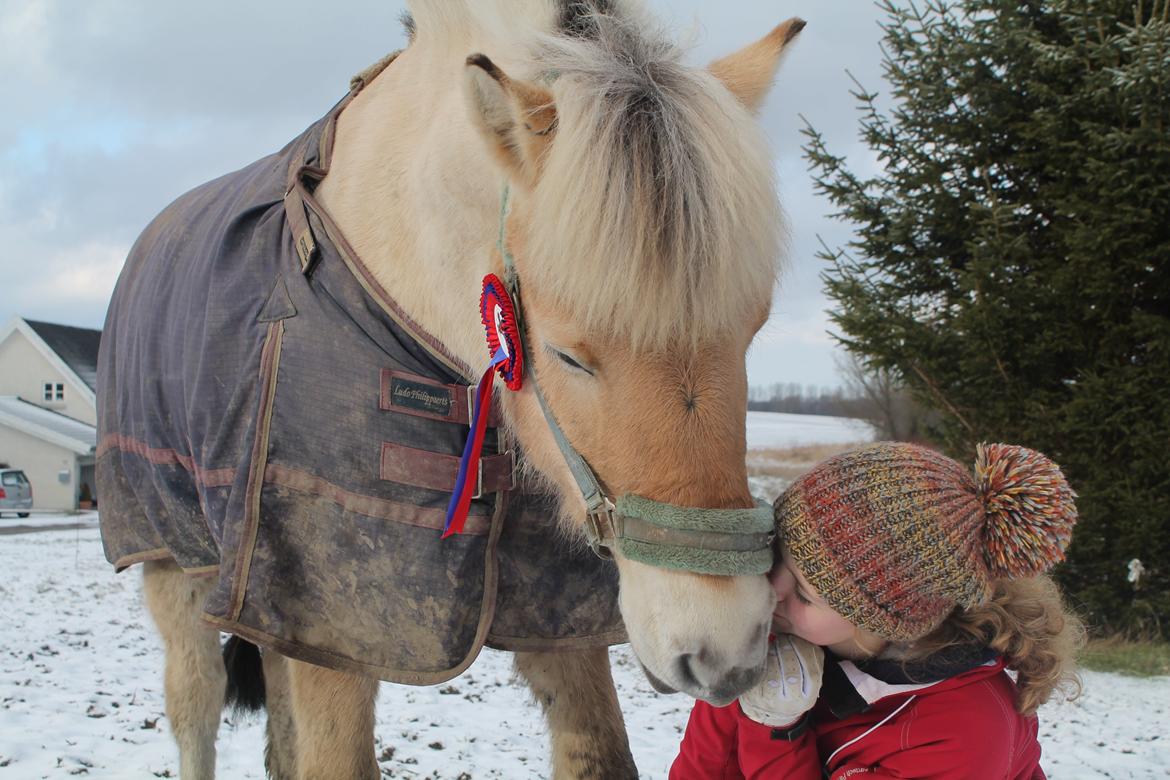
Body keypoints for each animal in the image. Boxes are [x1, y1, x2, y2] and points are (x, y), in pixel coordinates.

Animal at [96, 2, 804, 777]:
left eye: (753, 330)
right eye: (568, 355)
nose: (726, 649)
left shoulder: (551, 620)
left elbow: (601, 752)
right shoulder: (335, 623)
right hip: (177, 564)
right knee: (195, 707)